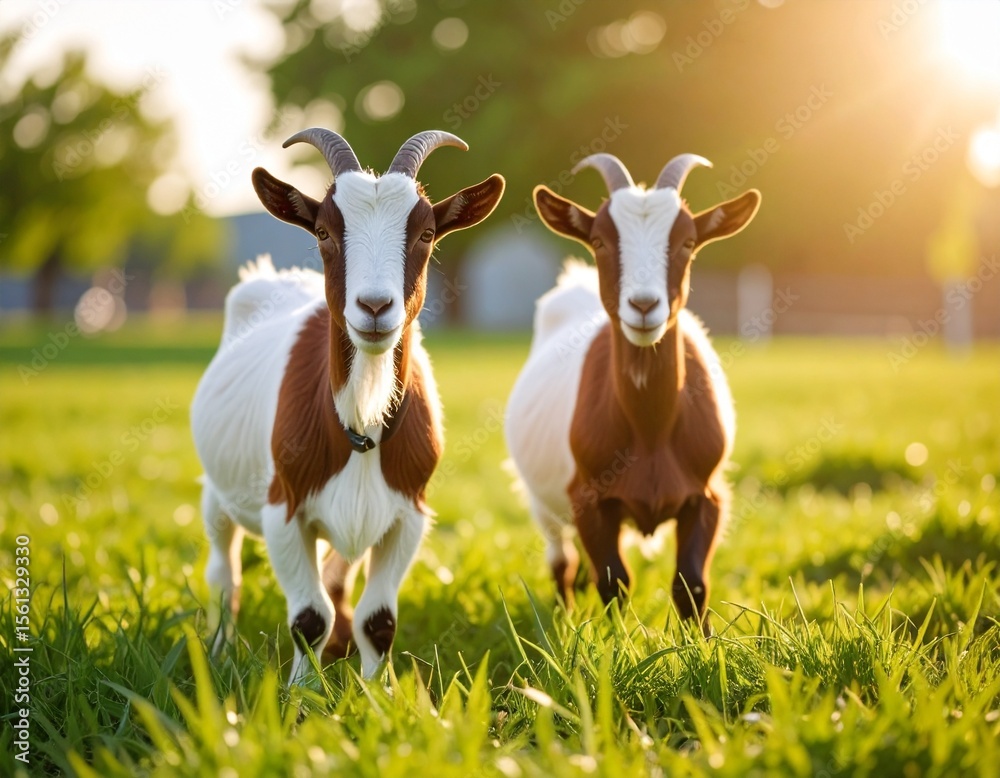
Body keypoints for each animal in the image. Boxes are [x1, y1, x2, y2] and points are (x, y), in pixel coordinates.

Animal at [191, 129, 505, 681]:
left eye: (426, 234)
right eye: (322, 232)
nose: (374, 307)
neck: (361, 424)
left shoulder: (408, 513)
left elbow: (376, 619)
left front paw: (378, 693)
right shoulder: (284, 509)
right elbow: (308, 616)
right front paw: (299, 693)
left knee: (336, 577)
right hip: (217, 492)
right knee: (223, 572)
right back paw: (221, 649)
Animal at [504, 153, 760, 626]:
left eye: (688, 241)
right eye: (599, 240)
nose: (643, 306)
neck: (651, 430)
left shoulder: (708, 495)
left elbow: (691, 582)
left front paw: (702, 641)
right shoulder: (587, 499)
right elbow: (614, 581)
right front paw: (614, 640)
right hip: (541, 502)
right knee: (562, 561)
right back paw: (563, 614)